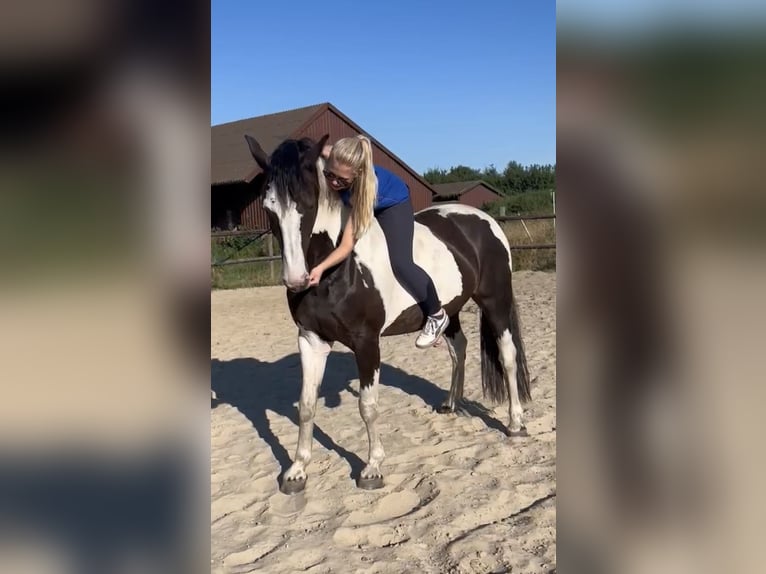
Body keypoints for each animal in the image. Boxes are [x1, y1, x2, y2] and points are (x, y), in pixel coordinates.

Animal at [244, 133, 531, 494]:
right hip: (451, 308)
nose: (296, 280)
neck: (337, 267)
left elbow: (368, 406)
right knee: (459, 349)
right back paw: (451, 404)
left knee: (508, 356)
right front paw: (297, 471)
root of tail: (484, 220)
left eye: (307, 204)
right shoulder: (311, 340)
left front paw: (372, 468)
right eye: (268, 208)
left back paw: (515, 422)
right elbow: (307, 406)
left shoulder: (367, 342)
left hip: (495, 301)